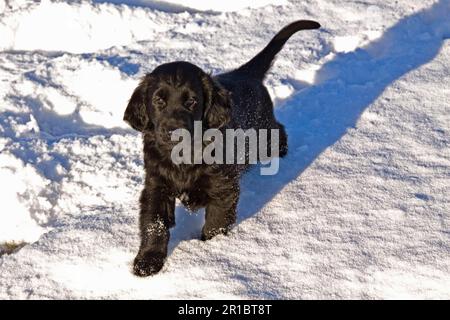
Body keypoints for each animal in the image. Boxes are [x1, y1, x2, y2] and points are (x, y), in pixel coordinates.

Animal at [123, 20, 320, 276]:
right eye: (159, 100)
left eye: (191, 101)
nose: (174, 131)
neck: (185, 155)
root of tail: (243, 73)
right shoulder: (156, 184)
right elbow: (154, 224)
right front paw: (148, 261)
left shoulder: (223, 186)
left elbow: (216, 222)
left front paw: (210, 251)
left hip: (264, 133)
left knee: (278, 131)